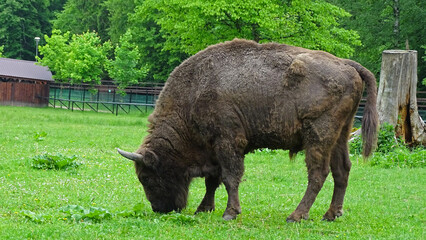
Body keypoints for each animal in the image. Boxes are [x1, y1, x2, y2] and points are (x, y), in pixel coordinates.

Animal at [116, 39, 376, 221]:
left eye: (146, 177)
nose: (160, 209)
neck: (194, 93)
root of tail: (347, 64)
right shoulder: (214, 149)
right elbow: (213, 181)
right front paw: (204, 209)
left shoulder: (227, 142)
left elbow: (230, 177)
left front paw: (229, 212)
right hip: (341, 135)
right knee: (342, 171)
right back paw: (331, 215)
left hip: (318, 136)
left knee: (318, 174)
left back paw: (296, 216)